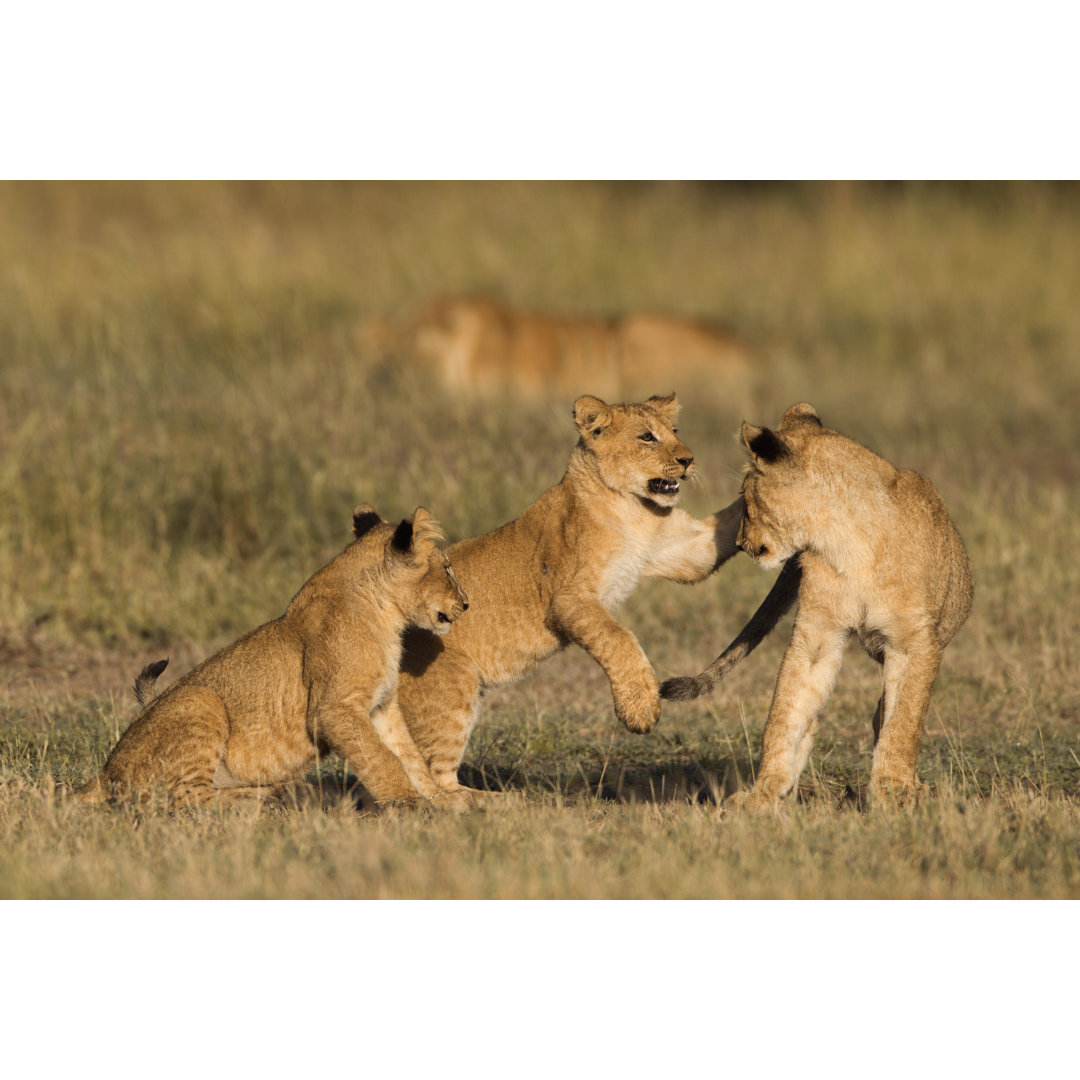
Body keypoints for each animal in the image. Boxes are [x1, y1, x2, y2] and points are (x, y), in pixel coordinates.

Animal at [76, 505, 471, 810]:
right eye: (447, 568)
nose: (466, 604)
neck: (387, 616)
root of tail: (104, 772)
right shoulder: (335, 709)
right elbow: (382, 758)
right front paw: (409, 803)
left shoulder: (381, 707)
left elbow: (409, 755)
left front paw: (443, 800)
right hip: (200, 699)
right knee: (182, 796)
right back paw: (275, 796)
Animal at [385, 392, 745, 799]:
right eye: (647, 437)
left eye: (675, 431)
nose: (688, 460)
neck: (632, 508)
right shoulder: (568, 597)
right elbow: (618, 638)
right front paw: (640, 708)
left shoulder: (681, 549)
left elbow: (719, 534)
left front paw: (761, 485)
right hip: (451, 688)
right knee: (431, 779)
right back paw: (493, 802)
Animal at [661, 403, 974, 809]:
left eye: (745, 496)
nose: (742, 543)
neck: (847, 541)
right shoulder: (817, 635)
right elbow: (787, 709)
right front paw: (765, 792)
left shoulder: (913, 643)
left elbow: (904, 721)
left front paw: (895, 790)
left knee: (884, 714)